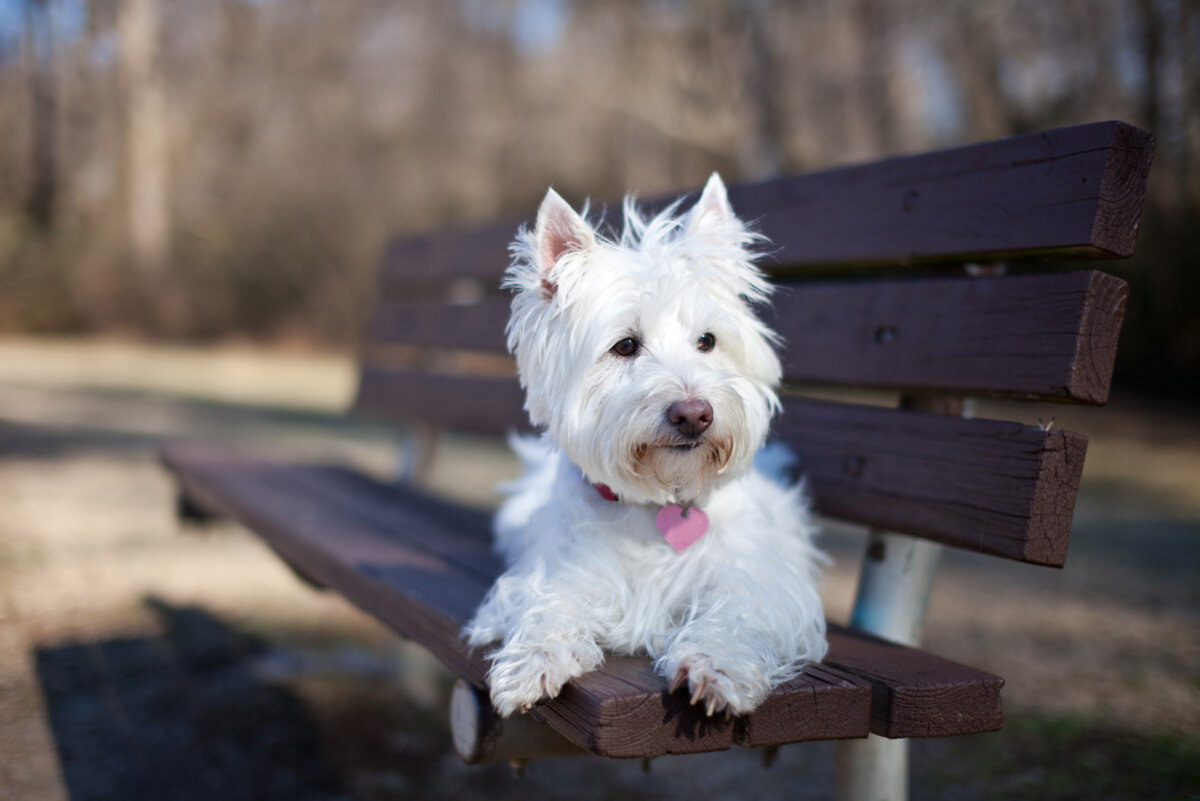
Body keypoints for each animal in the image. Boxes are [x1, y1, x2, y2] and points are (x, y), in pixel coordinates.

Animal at [460, 173, 825, 719]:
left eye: (707, 340)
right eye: (626, 346)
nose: (694, 414)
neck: (659, 502)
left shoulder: (761, 584)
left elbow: (737, 613)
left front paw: (717, 667)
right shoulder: (564, 569)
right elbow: (548, 604)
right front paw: (533, 661)